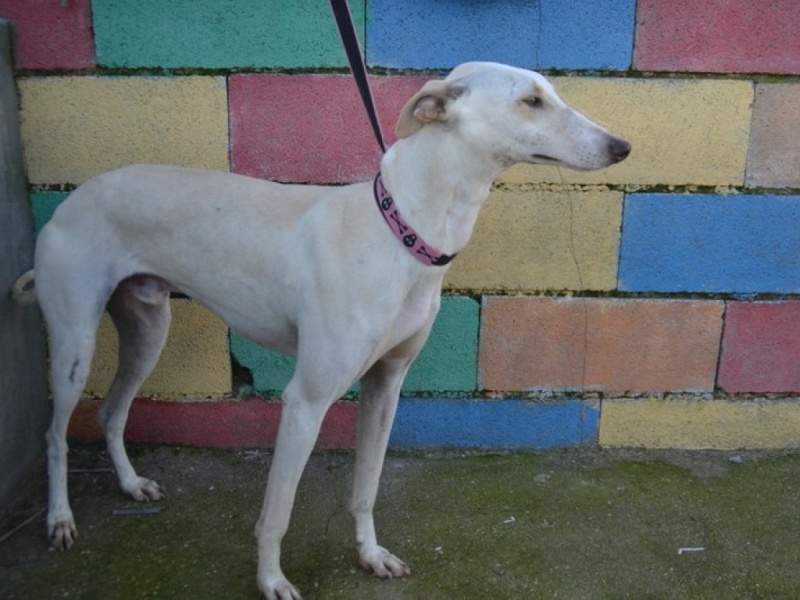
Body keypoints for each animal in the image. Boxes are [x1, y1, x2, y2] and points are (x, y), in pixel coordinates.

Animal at [9, 63, 628, 596]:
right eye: (531, 100)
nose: (622, 147)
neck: (402, 230)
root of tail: (72, 200)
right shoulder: (305, 400)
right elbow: (276, 514)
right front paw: (271, 582)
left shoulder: (386, 385)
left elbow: (366, 488)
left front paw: (370, 556)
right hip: (75, 342)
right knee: (57, 433)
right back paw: (60, 519)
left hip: (147, 329)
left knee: (112, 414)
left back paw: (132, 485)